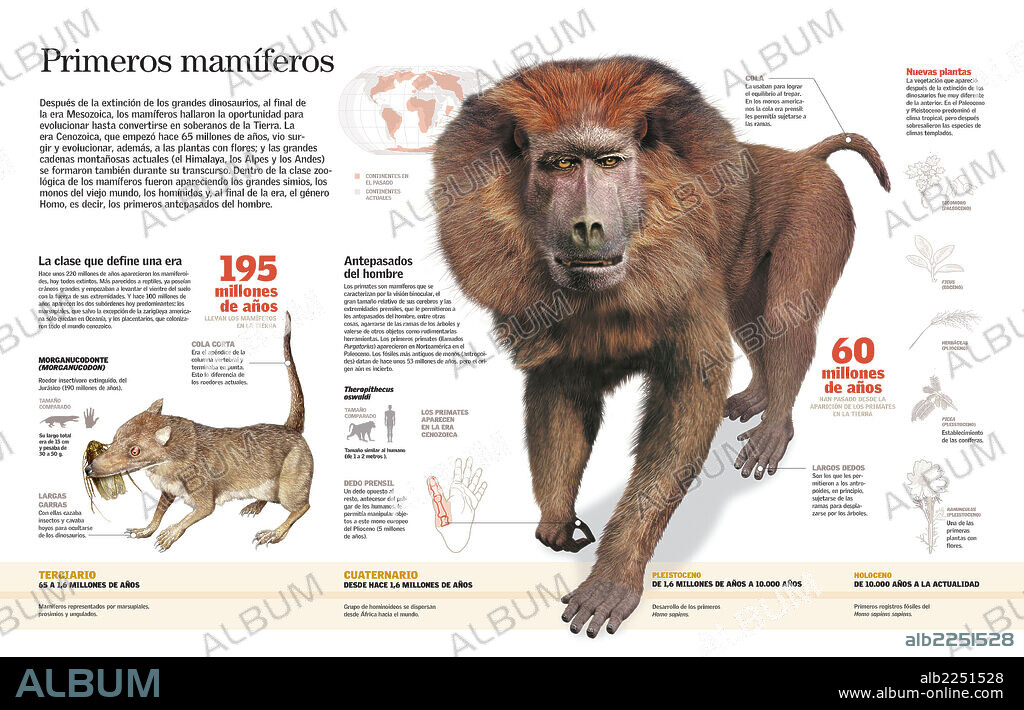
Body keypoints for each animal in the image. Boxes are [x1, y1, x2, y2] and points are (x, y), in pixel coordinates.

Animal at [432, 57, 889, 638]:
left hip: (820, 216)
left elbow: (687, 403)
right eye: (560, 164)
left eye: (609, 162)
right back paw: (755, 398)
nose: (587, 225)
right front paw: (556, 522)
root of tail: (805, 158)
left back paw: (774, 428)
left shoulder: (688, 294)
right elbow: (561, 397)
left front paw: (613, 578)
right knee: (752, 323)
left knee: (787, 319)